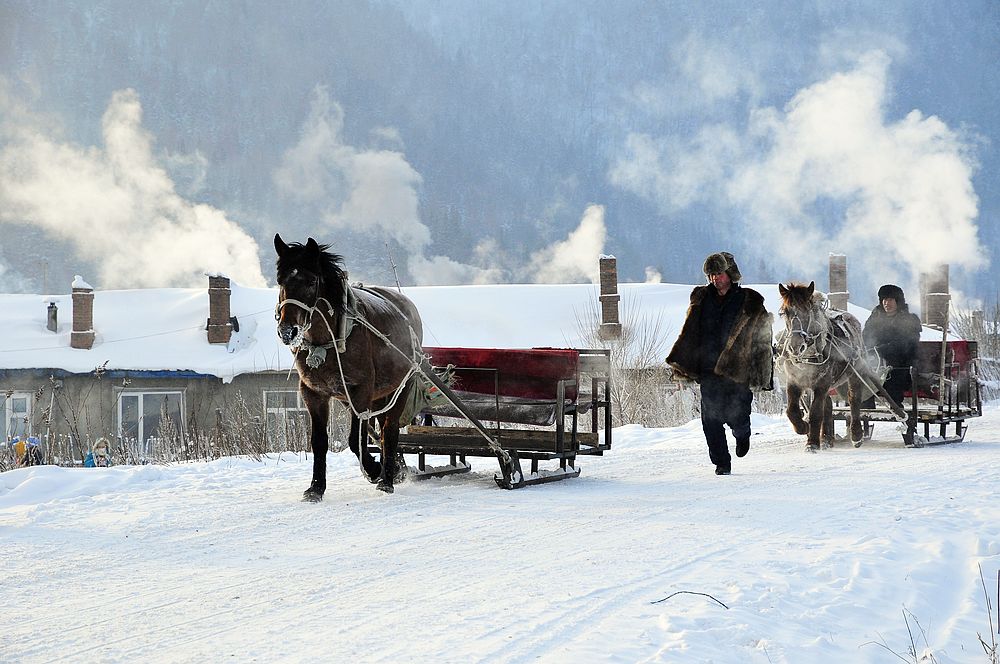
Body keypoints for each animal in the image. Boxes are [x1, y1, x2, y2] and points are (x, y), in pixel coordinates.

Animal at [276, 233, 424, 498]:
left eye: (311, 281)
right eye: (280, 281)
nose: (287, 331)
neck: (328, 343)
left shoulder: (360, 391)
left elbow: (356, 439)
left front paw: (375, 470)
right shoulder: (313, 393)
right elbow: (319, 442)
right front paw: (316, 487)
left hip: (402, 386)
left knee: (389, 430)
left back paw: (387, 479)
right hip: (378, 395)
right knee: (382, 430)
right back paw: (394, 469)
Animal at [776, 280, 872, 452]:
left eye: (807, 310)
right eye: (785, 312)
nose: (795, 346)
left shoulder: (822, 382)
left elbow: (815, 412)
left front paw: (812, 443)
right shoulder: (794, 381)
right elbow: (791, 410)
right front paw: (803, 427)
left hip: (855, 371)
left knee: (854, 399)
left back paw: (856, 435)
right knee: (827, 406)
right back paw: (826, 439)